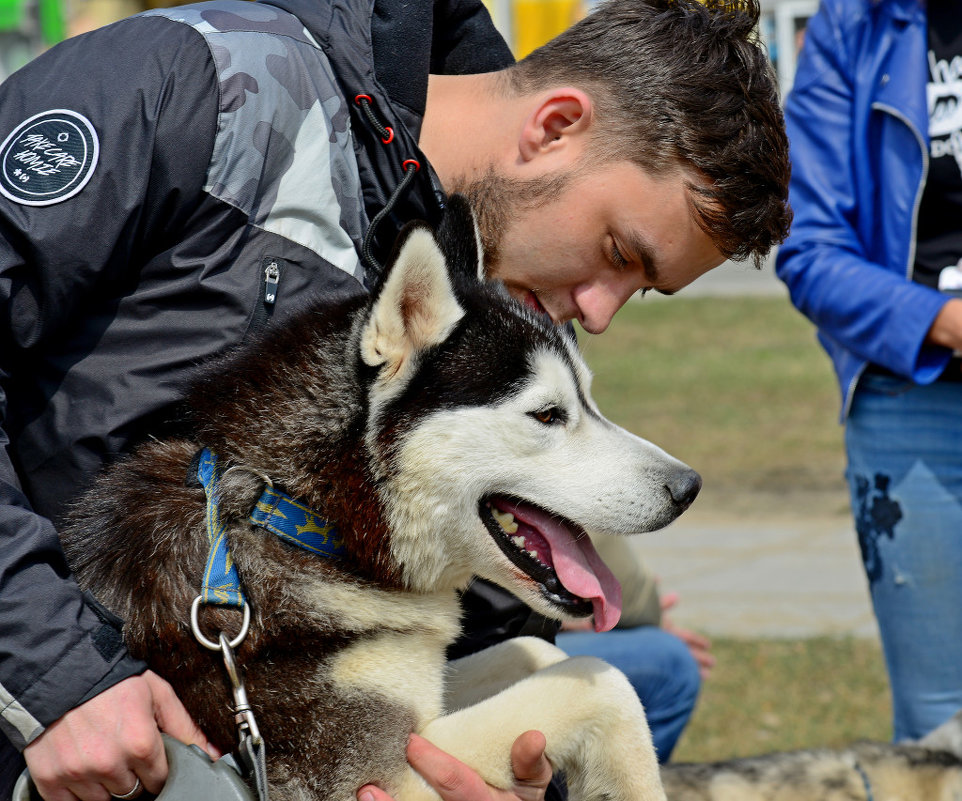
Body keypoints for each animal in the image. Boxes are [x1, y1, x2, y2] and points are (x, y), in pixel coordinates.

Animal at [62, 195, 696, 800]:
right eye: (547, 414)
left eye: (589, 400)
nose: (687, 488)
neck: (295, 516)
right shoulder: (377, 776)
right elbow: (604, 680)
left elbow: (544, 655)